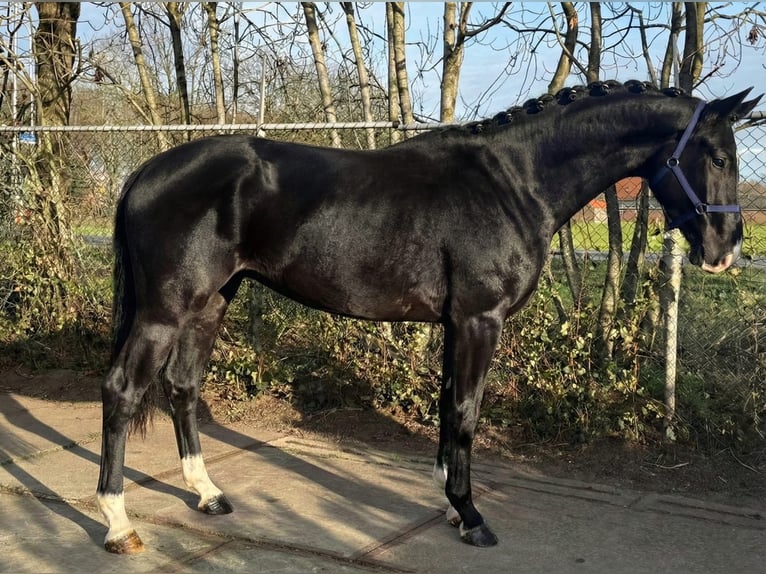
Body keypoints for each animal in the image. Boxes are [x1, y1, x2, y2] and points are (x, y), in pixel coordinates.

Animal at [96, 80, 761, 553]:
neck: (514, 182)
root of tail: (146, 172)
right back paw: (118, 523)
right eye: (716, 155)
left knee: (183, 388)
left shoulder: (455, 325)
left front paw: (449, 504)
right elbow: (466, 410)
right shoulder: (478, 320)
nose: (725, 249)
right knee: (123, 390)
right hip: (165, 309)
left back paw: (207, 494)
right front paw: (471, 516)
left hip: (211, 303)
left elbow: (448, 407)